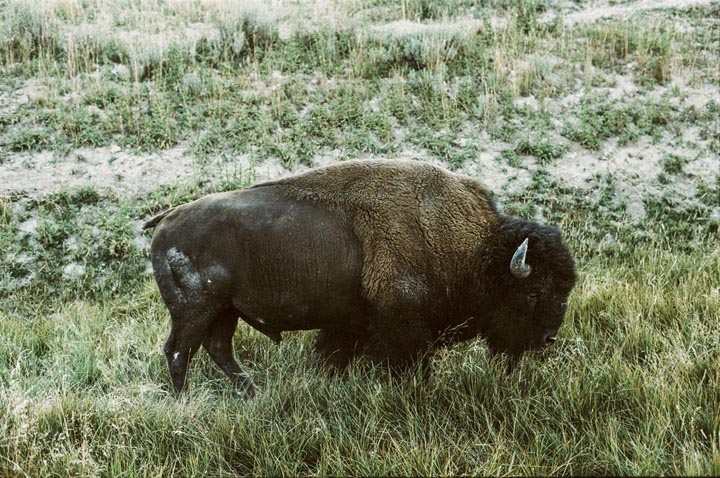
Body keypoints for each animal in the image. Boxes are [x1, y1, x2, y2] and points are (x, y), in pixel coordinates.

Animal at [143, 159, 576, 394]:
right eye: (533, 292)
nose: (549, 338)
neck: (473, 251)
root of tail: (167, 218)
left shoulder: (348, 326)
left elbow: (330, 356)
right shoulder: (402, 329)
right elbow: (409, 364)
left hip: (225, 312)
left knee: (218, 349)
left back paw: (252, 391)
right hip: (195, 311)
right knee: (179, 352)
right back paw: (185, 400)